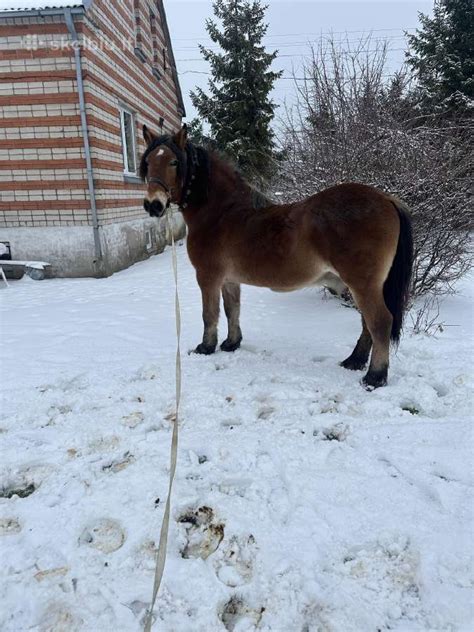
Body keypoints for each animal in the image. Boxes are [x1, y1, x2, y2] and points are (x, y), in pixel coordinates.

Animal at [139, 123, 412, 388]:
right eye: (148, 161)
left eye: (174, 162)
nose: (153, 204)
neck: (222, 213)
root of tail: (386, 198)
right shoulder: (229, 280)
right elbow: (231, 309)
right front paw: (231, 343)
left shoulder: (208, 278)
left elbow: (210, 314)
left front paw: (206, 347)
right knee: (367, 322)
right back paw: (354, 361)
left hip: (363, 284)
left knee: (379, 322)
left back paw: (374, 377)